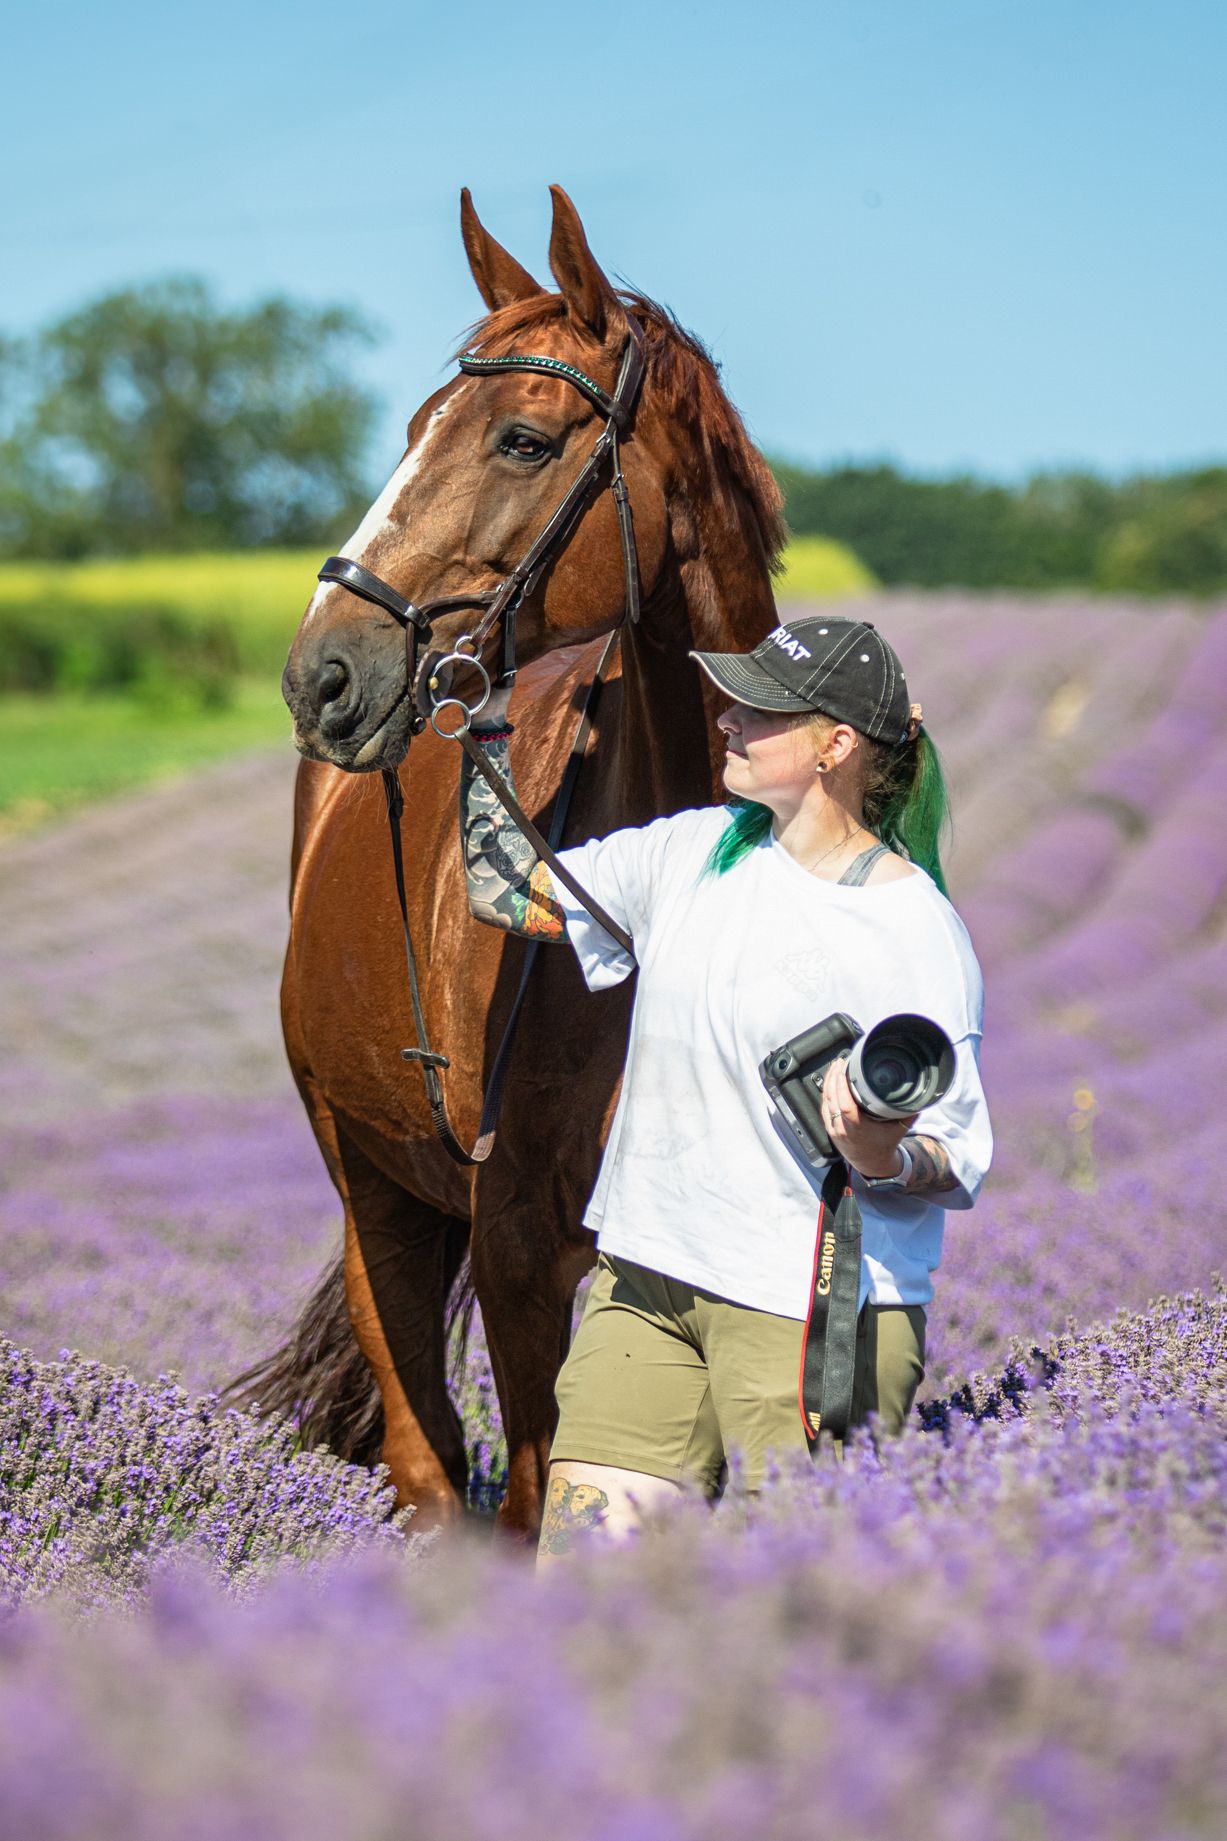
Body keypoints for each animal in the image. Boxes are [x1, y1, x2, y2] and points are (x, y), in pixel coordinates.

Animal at [242, 185, 784, 1540]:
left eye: (525, 441)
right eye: (414, 429)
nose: (323, 673)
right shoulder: (518, 1241)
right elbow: (537, 1492)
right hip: (372, 1196)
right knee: (427, 1457)